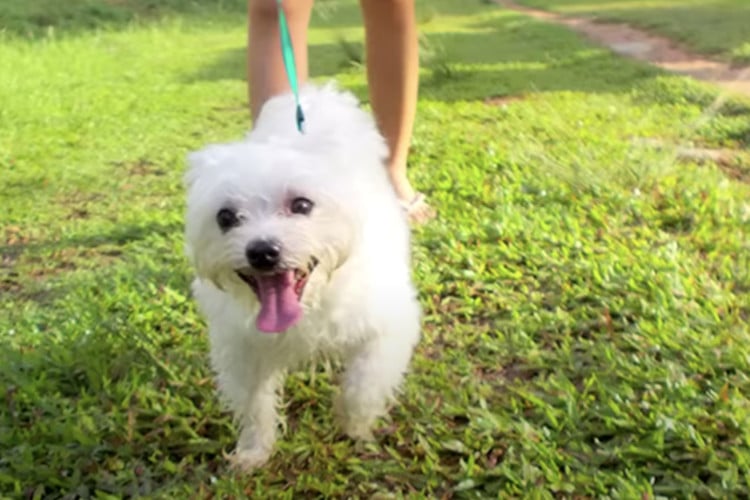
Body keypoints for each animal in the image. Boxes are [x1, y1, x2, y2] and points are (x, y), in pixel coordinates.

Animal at [184, 84, 424, 470]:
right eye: (225, 217)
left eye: (302, 205)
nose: (262, 251)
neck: (311, 301)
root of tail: (315, 94)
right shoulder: (243, 349)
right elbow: (254, 406)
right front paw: (253, 452)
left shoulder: (387, 328)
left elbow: (362, 384)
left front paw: (354, 427)